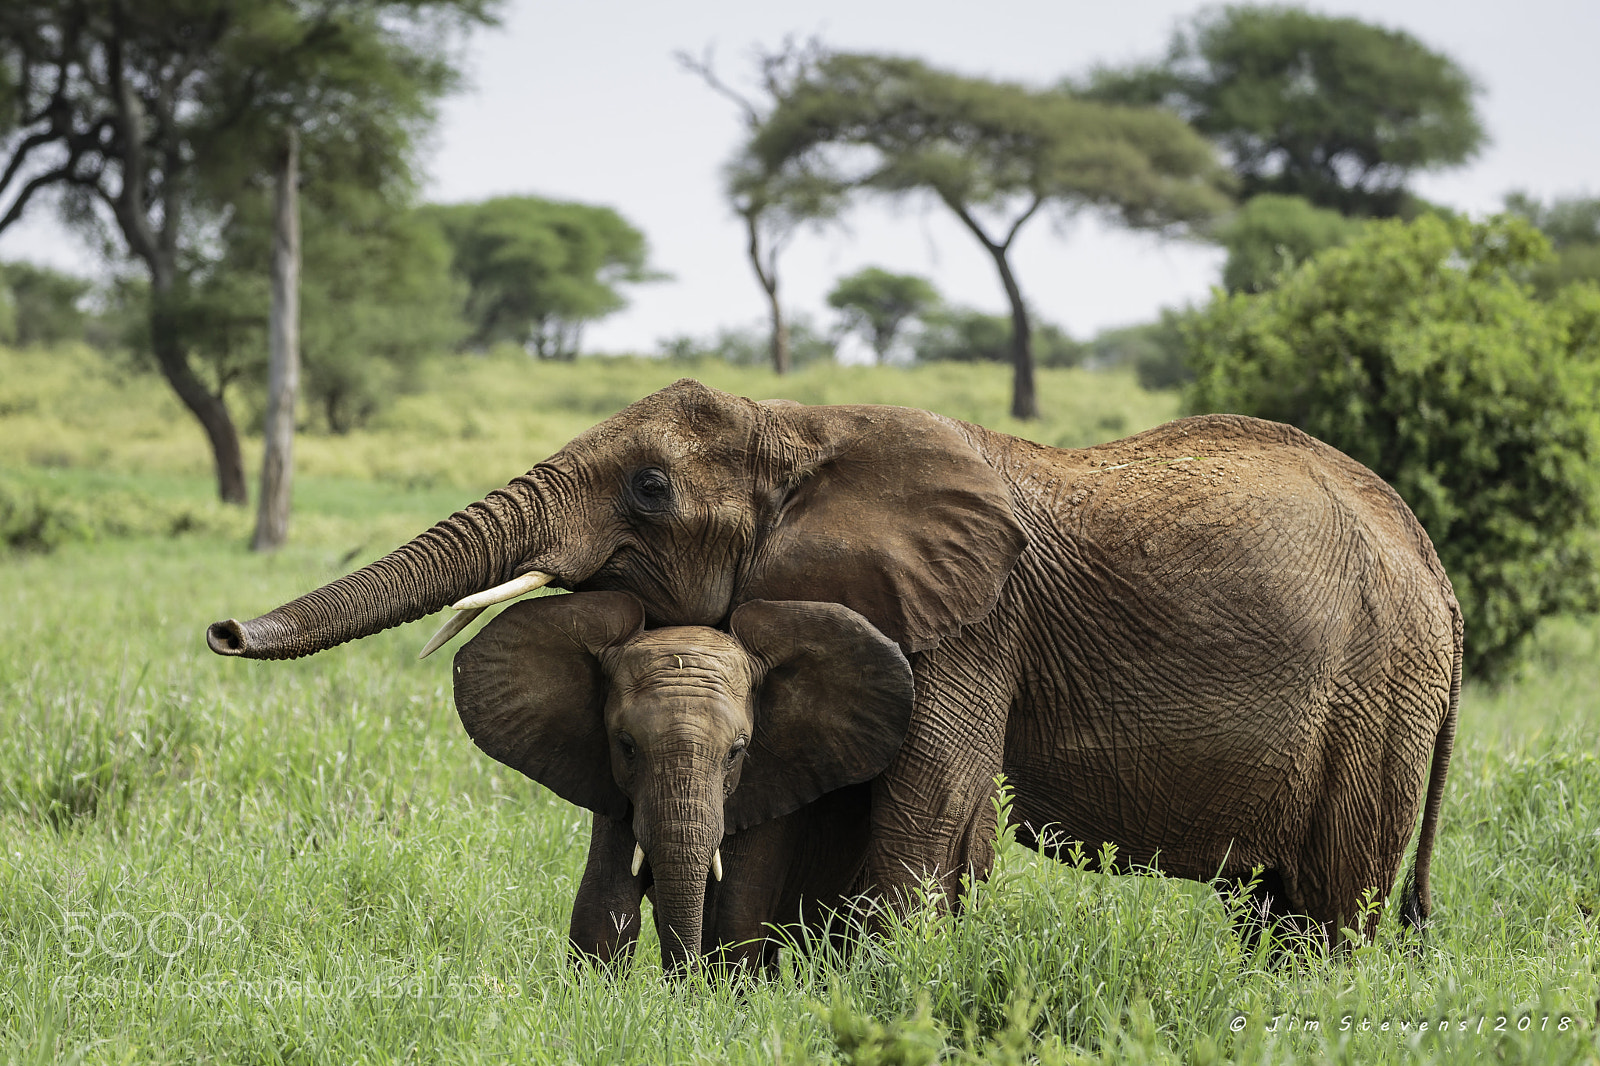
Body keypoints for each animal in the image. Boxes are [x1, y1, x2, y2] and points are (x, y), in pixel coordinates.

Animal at [449, 590, 913, 972]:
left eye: (737, 752)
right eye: (626, 746)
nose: (682, 987)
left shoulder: (774, 783)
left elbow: (732, 916)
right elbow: (603, 906)